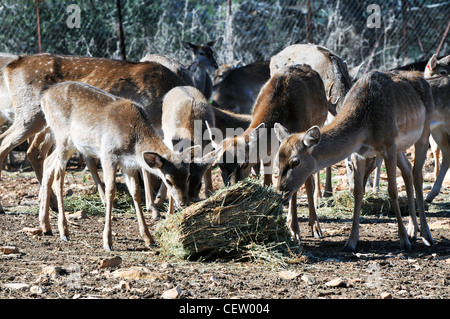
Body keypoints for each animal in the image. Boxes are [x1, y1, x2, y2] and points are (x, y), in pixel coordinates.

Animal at [0, 53, 185, 218]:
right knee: (6, 143)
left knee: (35, 152)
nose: (184, 202)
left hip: (48, 126)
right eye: (169, 180)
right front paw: (154, 209)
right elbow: (145, 167)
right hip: (30, 114)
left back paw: (50, 204)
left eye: (188, 176)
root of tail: (10, 68)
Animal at [39, 81, 197, 251]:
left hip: (72, 144)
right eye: (168, 181)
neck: (133, 144)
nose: (183, 202)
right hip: (62, 136)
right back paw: (64, 231)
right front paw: (107, 242)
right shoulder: (108, 153)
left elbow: (136, 193)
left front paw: (149, 238)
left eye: (188, 177)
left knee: (48, 163)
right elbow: (110, 191)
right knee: (59, 177)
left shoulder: (129, 164)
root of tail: (44, 94)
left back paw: (45, 226)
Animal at [207, 64, 326, 240]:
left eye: (244, 164)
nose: (232, 193)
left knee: (309, 180)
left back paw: (315, 225)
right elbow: (268, 183)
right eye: (220, 165)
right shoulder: (268, 154)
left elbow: (295, 187)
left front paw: (295, 231)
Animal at [276, 70, 434, 252]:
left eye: (295, 161)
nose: (281, 189)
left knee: (417, 175)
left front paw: (403, 240)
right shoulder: (360, 153)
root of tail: (422, 77)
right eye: (278, 160)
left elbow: (392, 191)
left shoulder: (389, 145)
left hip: (424, 131)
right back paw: (412, 230)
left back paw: (426, 235)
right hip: (401, 146)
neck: (365, 126)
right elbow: (358, 192)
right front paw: (351, 241)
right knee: (408, 170)